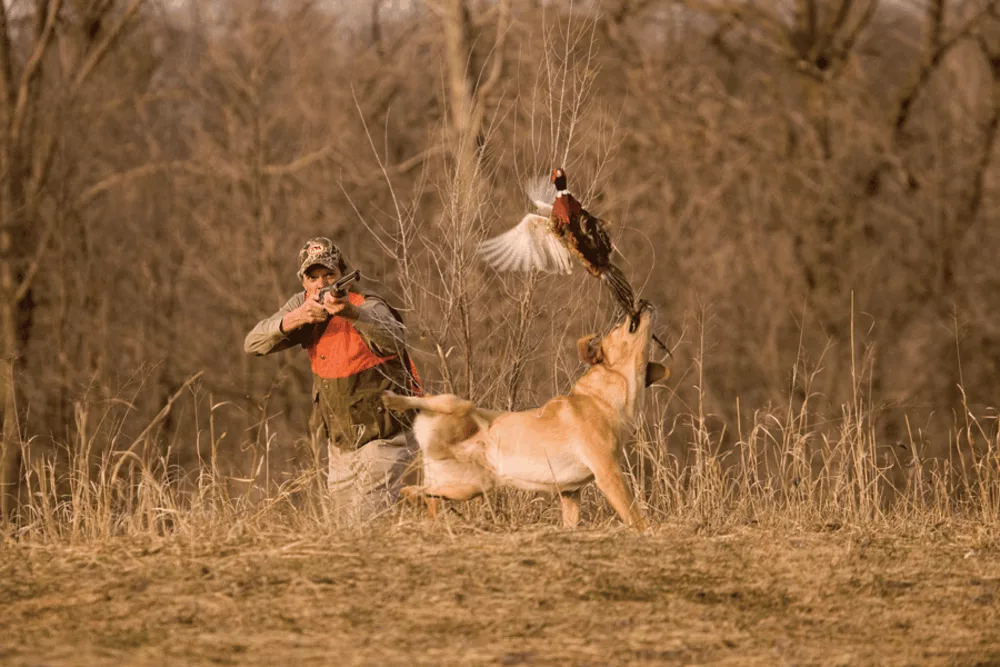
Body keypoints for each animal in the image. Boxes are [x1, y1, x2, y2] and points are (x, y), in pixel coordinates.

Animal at [378, 306, 668, 528]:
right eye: (619, 326)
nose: (641, 303)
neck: (606, 397)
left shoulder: (570, 492)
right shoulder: (608, 472)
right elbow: (636, 517)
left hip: (468, 486)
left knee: (420, 492)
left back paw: (416, 497)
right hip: (456, 404)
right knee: (423, 400)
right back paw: (392, 399)